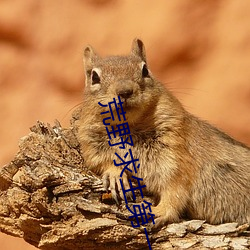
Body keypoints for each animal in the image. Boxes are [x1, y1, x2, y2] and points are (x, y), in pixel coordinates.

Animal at [77, 38, 249, 228]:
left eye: (145, 70)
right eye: (94, 77)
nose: (125, 91)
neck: (129, 127)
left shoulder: (175, 154)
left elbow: (175, 188)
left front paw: (158, 211)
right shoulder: (91, 143)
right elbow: (101, 161)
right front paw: (115, 176)